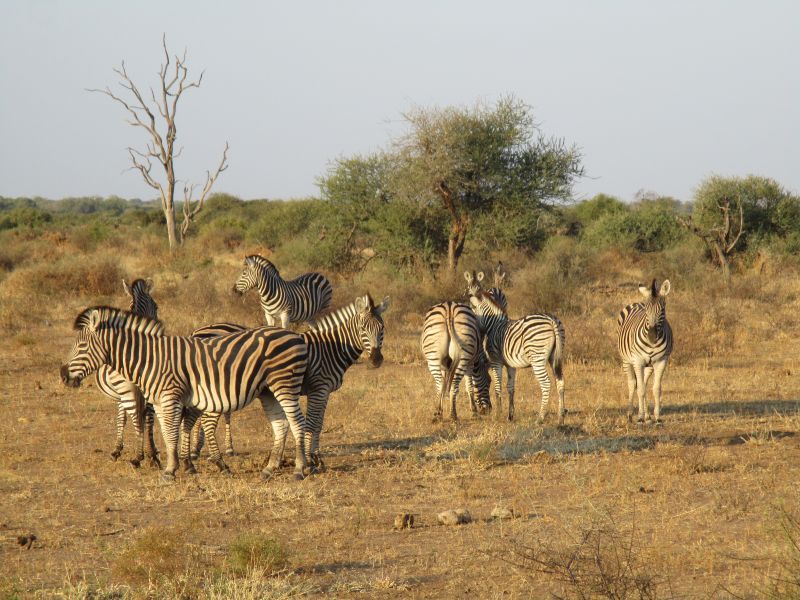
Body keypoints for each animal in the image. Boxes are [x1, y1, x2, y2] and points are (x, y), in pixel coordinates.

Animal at [59, 310, 308, 482]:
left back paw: (299, 468)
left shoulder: (170, 398)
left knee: (297, 422)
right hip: (267, 391)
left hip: (285, 384)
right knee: (281, 425)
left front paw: (169, 471)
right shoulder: (159, 402)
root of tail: (294, 334)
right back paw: (269, 469)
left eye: (82, 346)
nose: (62, 374)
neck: (150, 360)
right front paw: (172, 465)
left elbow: (171, 433)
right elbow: (169, 435)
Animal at [195, 296, 394, 474]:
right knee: (206, 419)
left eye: (382, 328)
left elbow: (319, 424)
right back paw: (211, 460)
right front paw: (310, 460)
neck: (331, 349)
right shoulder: (318, 388)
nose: (376, 359)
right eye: (362, 328)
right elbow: (311, 423)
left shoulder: (325, 391)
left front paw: (316, 458)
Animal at [462, 270, 568, 424]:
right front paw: (510, 415)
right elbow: (510, 388)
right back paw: (560, 417)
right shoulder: (511, 365)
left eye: (469, 299)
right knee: (560, 382)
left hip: (537, 358)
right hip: (555, 357)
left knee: (546, 384)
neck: (493, 324)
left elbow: (498, 387)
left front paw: (498, 415)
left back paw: (540, 417)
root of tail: (552, 320)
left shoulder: (496, 361)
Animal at [620, 280, 676, 424]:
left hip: (649, 366)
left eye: (662, 309)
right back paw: (630, 414)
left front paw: (656, 416)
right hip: (627, 361)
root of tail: (637, 302)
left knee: (643, 383)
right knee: (632, 384)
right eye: (646, 310)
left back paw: (647, 415)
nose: (652, 336)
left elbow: (656, 389)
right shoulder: (638, 361)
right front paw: (639, 417)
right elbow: (640, 389)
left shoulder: (661, 361)